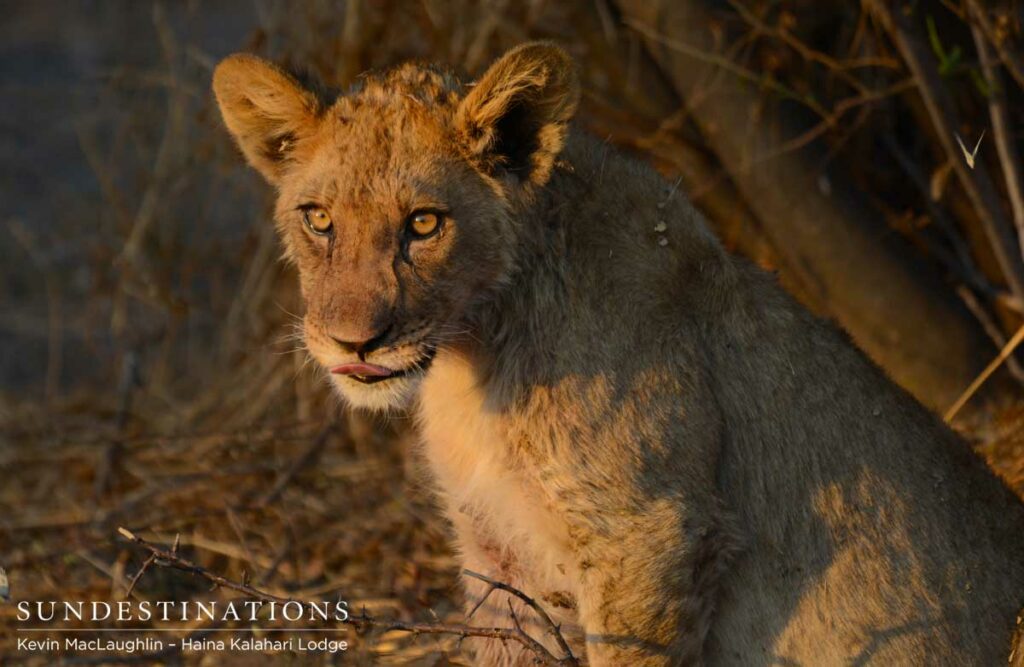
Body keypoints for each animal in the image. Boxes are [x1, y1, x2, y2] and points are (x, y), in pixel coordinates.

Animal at [213, 42, 1024, 665]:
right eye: (318, 219)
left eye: (423, 223)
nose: (354, 342)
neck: (475, 363)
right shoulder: (498, 555)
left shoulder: (652, 535)